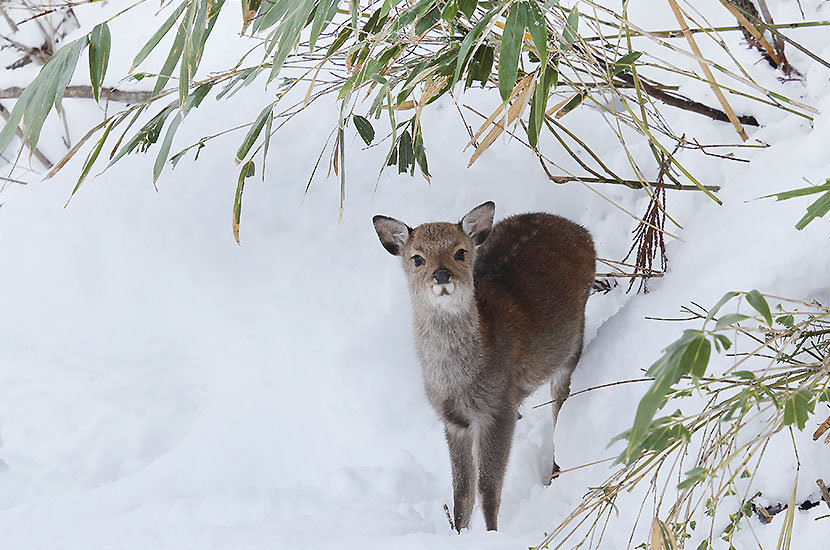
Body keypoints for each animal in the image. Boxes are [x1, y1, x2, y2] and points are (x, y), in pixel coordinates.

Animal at [372, 203, 600, 536]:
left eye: (460, 252)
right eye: (417, 258)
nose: (441, 274)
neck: (459, 380)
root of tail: (581, 231)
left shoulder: (497, 407)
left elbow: (488, 490)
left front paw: (492, 533)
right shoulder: (453, 421)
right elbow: (462, 492)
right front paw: (459, 533)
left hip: (571, 345)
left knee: (561, 406)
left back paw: (556, 472)